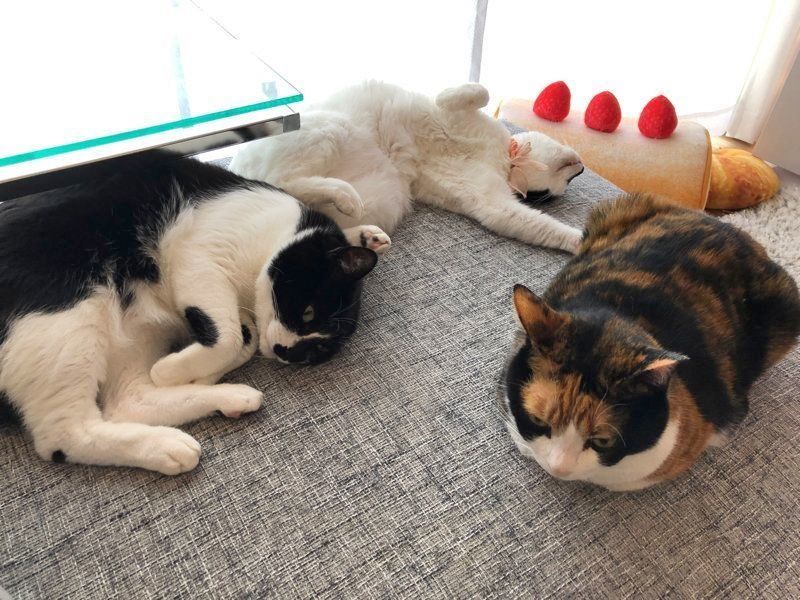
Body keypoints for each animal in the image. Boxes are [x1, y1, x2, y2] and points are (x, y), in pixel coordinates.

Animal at [0, 155, 380, 474]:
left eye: (317, 351)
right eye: (308, 313)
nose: (287, 351)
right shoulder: (200, 257)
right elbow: (228, 337)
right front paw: (171, 370)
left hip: (131, 336)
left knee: (129, 401)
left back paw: (227, 399)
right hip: (68, 320)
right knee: (65, 433)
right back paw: (169, 441)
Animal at [229, 81, 585, 254]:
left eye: (546, 195)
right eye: (565, 178)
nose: (581, 170)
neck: (499, 157)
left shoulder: (492, 204)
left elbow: (532, 223)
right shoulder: (449, 108)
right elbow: (475, 90)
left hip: (387, 195)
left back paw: (366, 237)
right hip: (333, 129)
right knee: (285, 181)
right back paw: (345, 196)